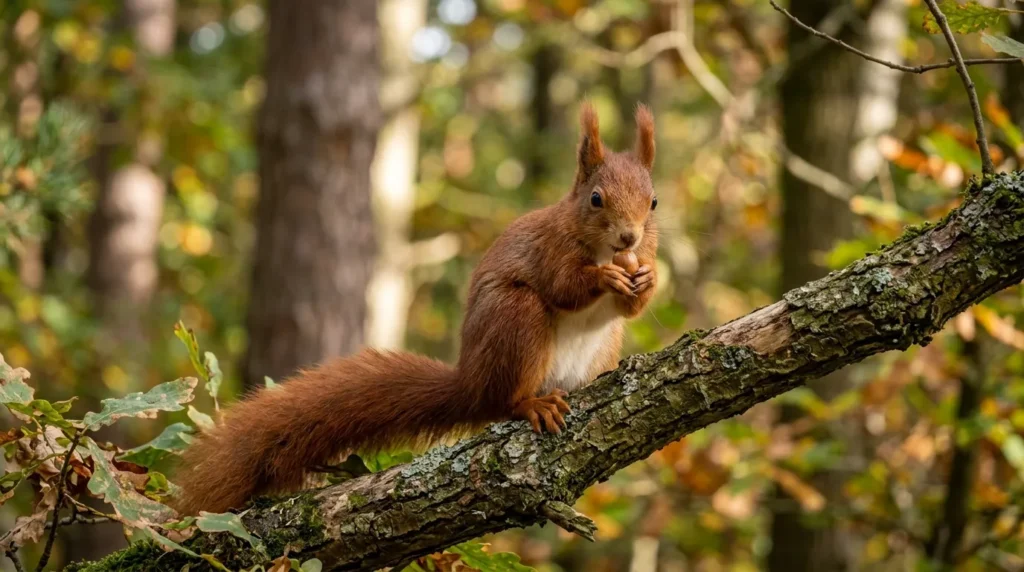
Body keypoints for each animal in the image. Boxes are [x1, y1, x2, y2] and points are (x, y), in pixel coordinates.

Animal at [173, 102, 659, 515]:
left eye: (653, 202)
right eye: (595, 199)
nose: (629, 237)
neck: (604, 250)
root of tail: (472, 383)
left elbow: (631, 309)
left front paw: (648, 280)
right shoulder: (550, 248)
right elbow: (564, 286)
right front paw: (603, 279)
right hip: (516, 319)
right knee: (506, 399)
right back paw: (530, 404)